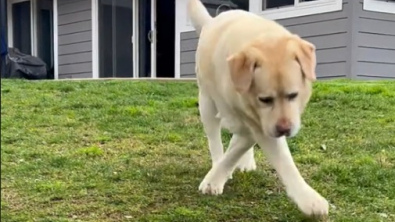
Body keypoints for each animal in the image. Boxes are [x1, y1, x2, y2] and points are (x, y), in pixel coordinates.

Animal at [189, 0, 332, 219]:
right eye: (265, 99)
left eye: (293, 95)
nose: (284, 129)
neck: (261, 37)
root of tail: (213, 21)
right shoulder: (257, 124)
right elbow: (281, 161)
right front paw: (214, 180)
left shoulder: (256, 125)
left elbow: (238, 148)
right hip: (207, 102)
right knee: (215, 140)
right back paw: (217, 163)